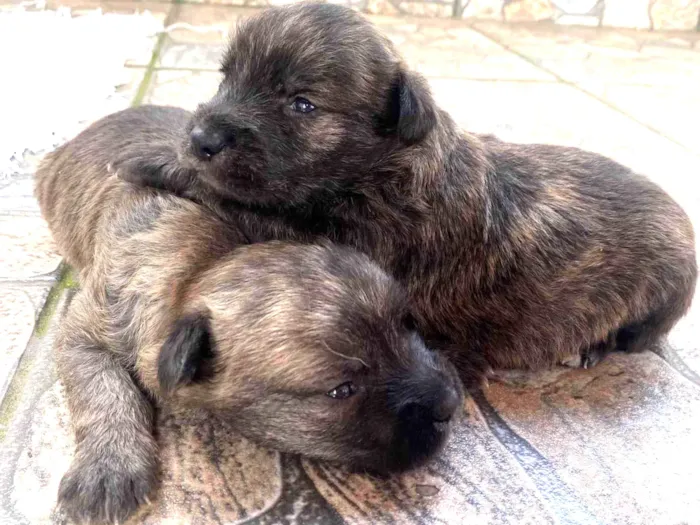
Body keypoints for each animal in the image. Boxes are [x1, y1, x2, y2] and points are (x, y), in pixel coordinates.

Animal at [34, 103, 464, 524]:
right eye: (341, 391)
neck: (204, 265)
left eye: (407, 323)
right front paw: (108, 469)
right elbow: (102, 387)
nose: (448, 403)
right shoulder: (87, 327)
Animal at [120, 3, 696, 380]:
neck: (384, 162)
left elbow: (252, 205)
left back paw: (592, 347)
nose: (201, 138)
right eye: (226, 78)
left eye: (302, 104)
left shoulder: (357, 243)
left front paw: (160, 162)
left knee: (642, 338)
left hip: (664, 293)